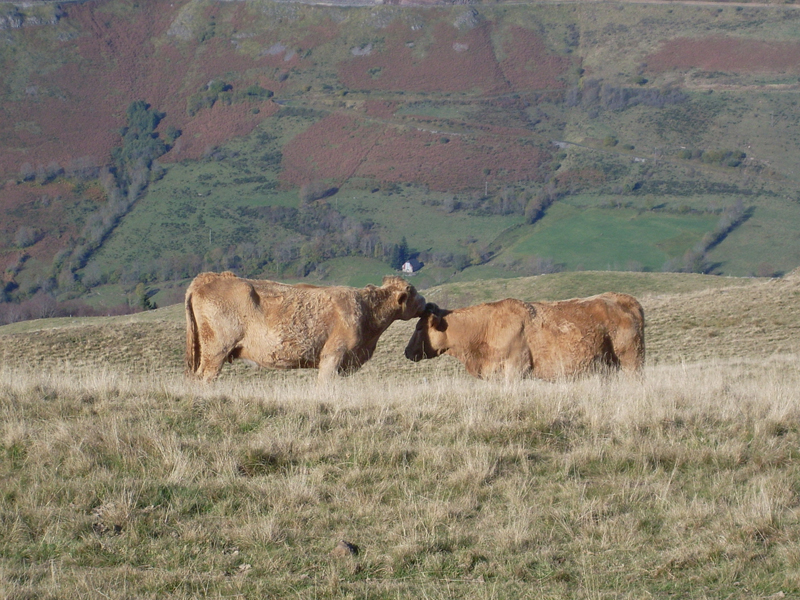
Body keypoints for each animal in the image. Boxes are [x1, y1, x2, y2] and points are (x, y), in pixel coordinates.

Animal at [186, 270, 424, 380]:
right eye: (412, 291)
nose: (425, 302)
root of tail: (209, 277)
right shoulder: (333, 354)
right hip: (216, 350)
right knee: (205, 377)